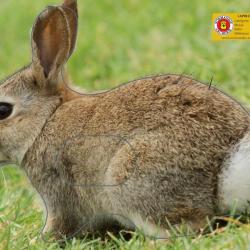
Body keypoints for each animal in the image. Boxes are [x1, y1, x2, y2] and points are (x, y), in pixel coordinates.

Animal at [0, 0, 250, 239]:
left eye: (3, 110)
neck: (45, 121)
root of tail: (222, 172)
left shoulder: (59, 191)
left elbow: (59, 224)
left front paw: (39, 239)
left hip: (130, 177)